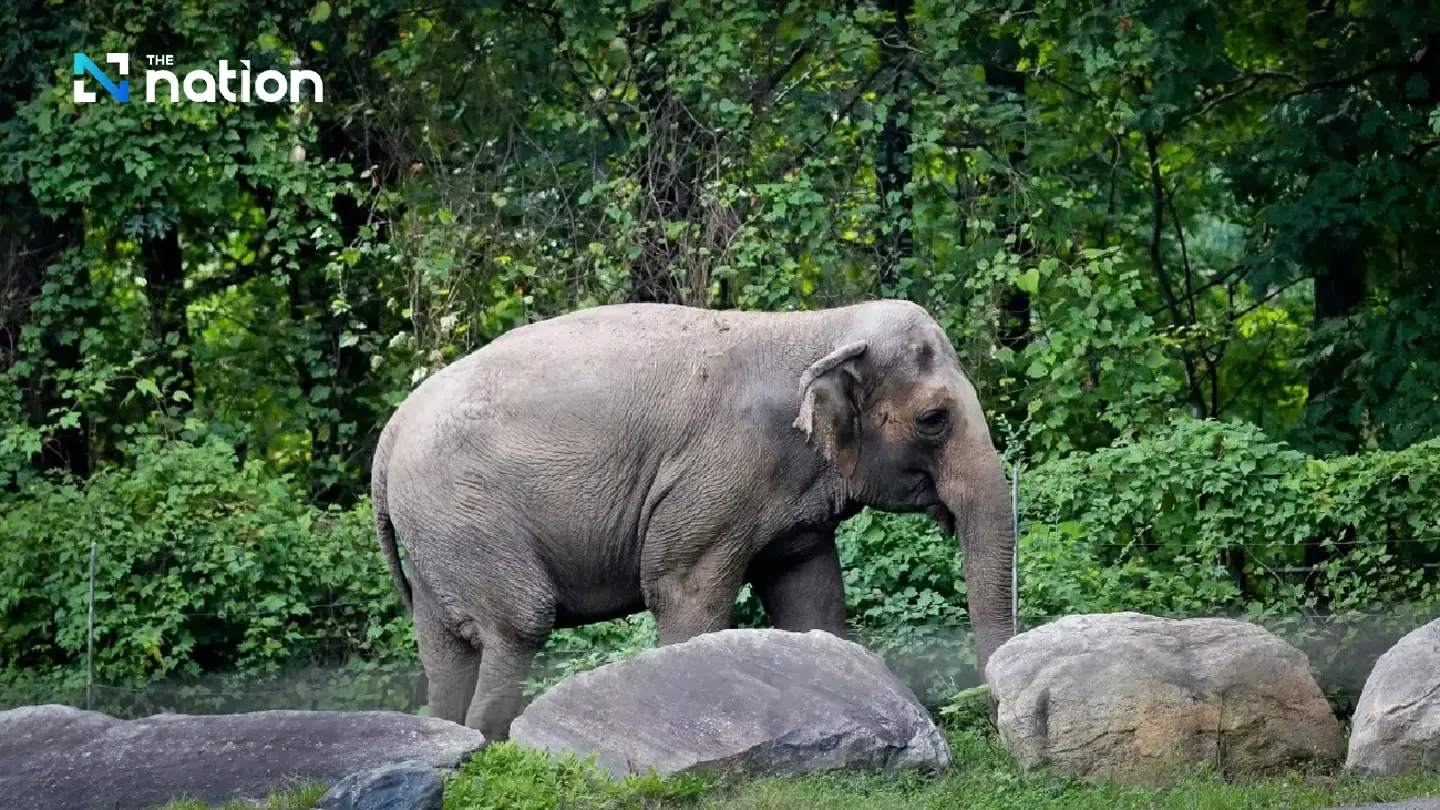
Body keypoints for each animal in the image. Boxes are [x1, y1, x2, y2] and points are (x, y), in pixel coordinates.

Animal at [371, 299, 1016, 741]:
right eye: (933, 420)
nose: (991, 719)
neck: (818, 327)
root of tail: (391, 432)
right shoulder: (718, 475)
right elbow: (684, 592)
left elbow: (811, 596)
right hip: (467, 515)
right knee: (518, 625)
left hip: (435, 536)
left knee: (444, 649)